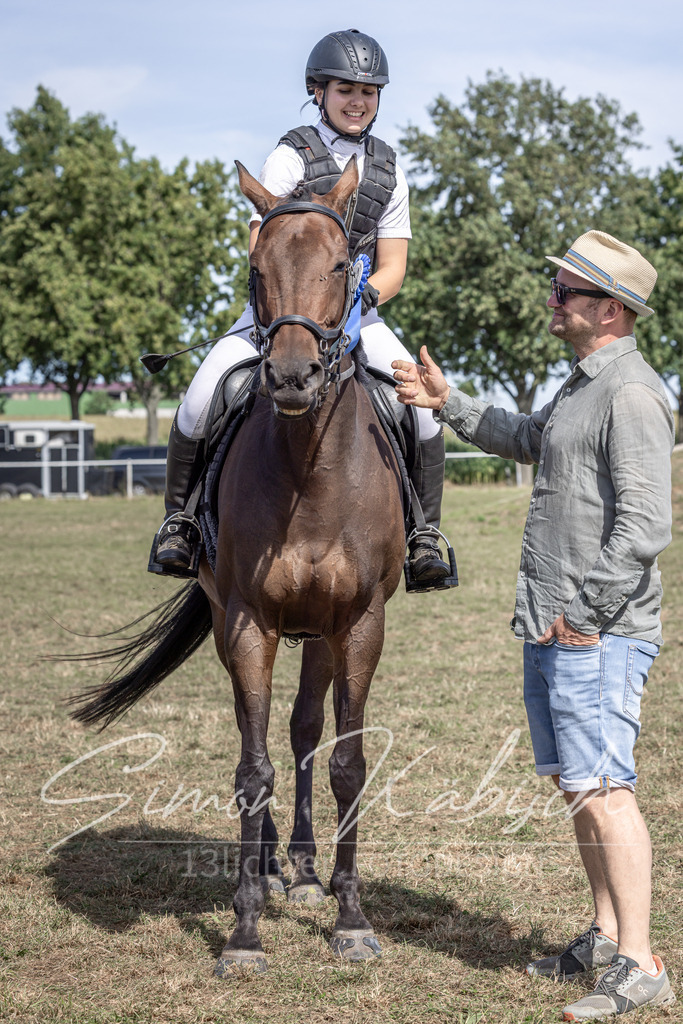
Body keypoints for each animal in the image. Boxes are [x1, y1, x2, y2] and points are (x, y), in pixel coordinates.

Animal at [68, 157, 406, 976]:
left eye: (343, 265)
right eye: (257, 267)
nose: (289, 377)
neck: (309, 470)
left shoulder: (360, 624)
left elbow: (347, 762)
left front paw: (351, 918)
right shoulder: (250, 622)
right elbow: (251, 770)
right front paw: (245, 927)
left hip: (321, 634)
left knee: (305, 730)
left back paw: (307, 872)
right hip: (235, 626)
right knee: (260, 737)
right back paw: (271, 871)